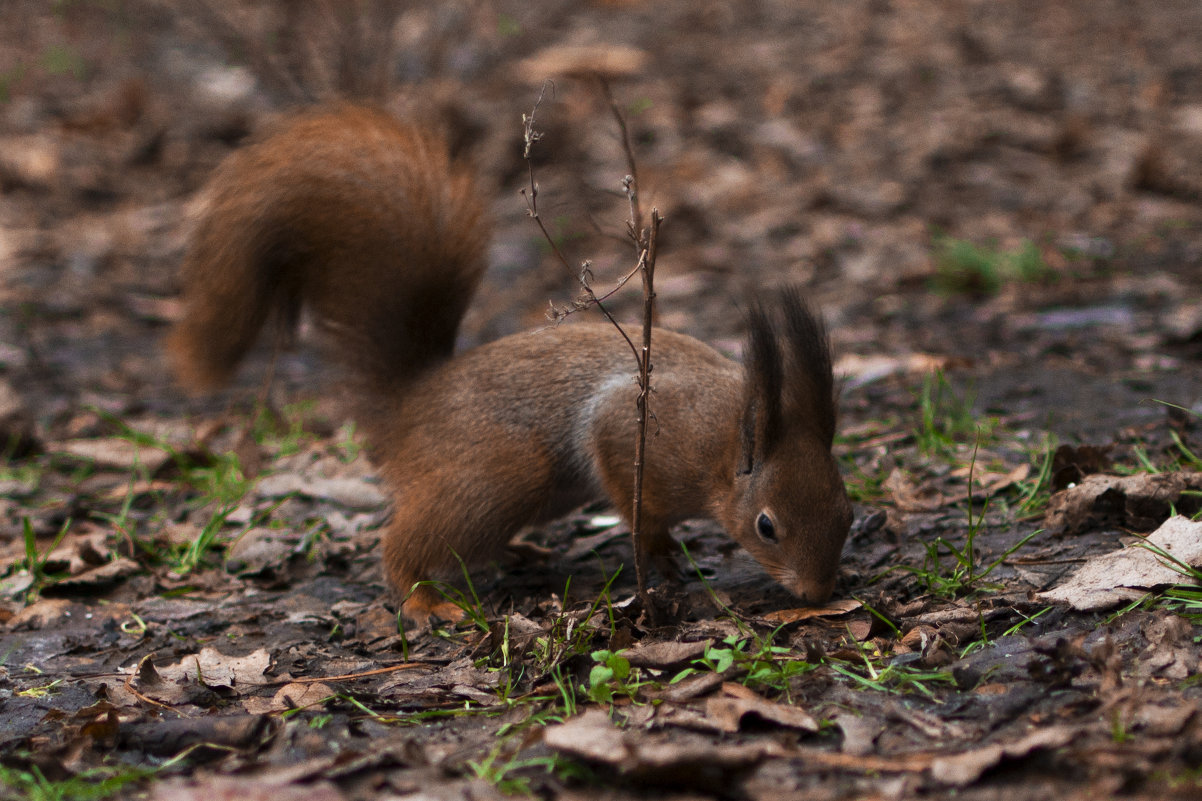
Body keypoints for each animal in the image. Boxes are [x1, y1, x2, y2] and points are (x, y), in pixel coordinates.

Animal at [169, 102, 855, 620]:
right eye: (766, 526)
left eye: (848, 511)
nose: (818, 594)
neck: (724, 440)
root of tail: (411, 403)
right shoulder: (636, 433)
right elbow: (634, 501)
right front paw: (660, 554)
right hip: (502, 472)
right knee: (402, 545)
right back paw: (424, 601)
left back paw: (517, 556)